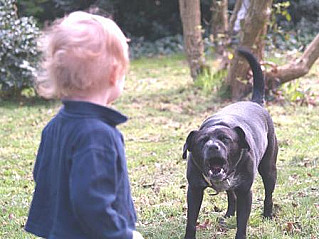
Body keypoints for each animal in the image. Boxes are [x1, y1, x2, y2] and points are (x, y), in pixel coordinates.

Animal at [184, 48, 278, 239]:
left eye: (225, 139)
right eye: (202, 141)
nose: (213, 146)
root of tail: (255, 102)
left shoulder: (245, 192)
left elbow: (242, 223)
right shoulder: (194, 190)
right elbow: (191, 220)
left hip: (269, 169)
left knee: (268, 195)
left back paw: (267, 215)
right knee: (230, 196)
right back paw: (228, 214)